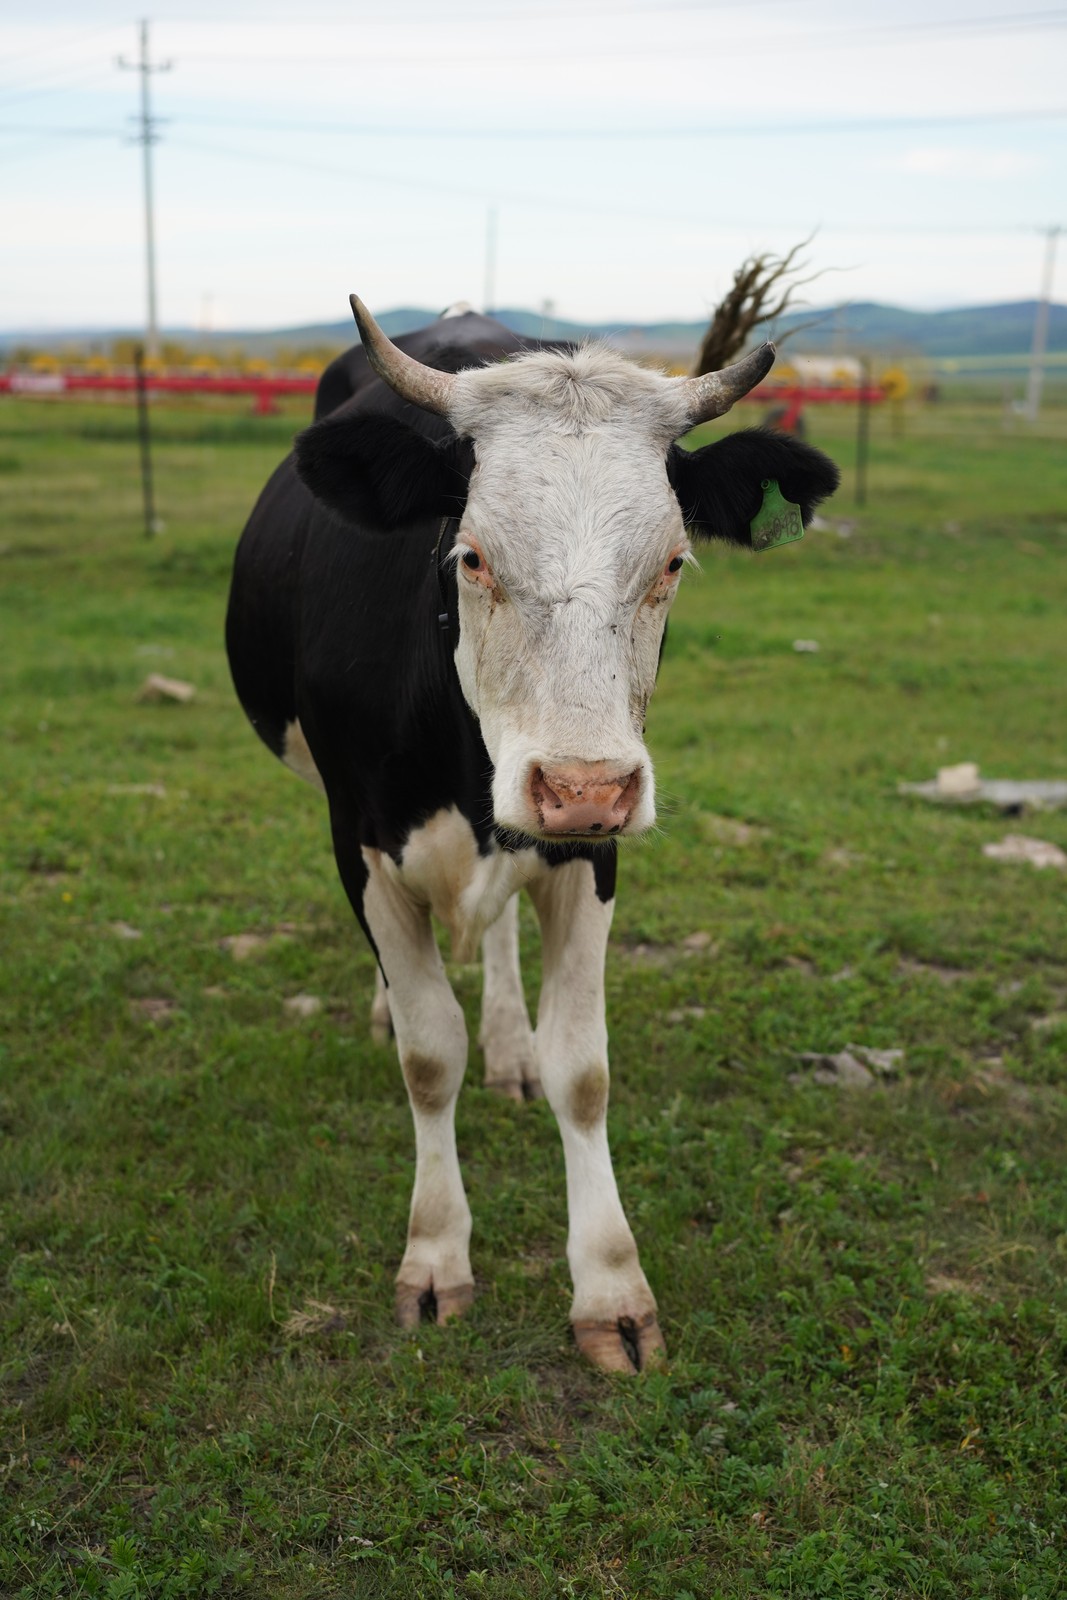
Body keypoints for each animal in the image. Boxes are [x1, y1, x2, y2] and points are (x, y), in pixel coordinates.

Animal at [226, 298, 839, 1373]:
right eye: (470, 556)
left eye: (671, 563)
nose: (582, 785)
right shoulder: (361, 846)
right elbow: (429, 1053)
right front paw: (434, 1258)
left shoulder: (591, 853)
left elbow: (582, 1071)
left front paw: (611, 1289)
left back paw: (509, 1042)